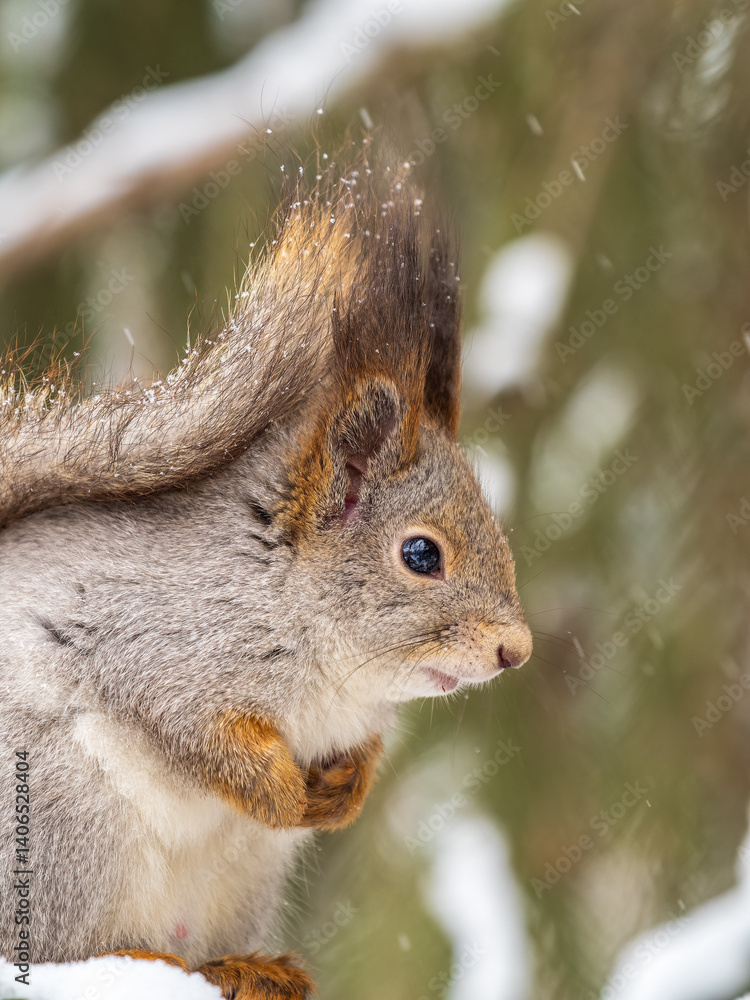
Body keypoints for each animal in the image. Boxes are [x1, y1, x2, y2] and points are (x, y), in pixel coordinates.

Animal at [0, 148, 532, 1000]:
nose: (517, 650)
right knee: (55, 949)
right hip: (63, 823)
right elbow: (195, 732)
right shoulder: (152, 643)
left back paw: (248, 967)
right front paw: (280, 791)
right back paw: (144, 960)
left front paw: (345, 792)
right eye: (422, 555)